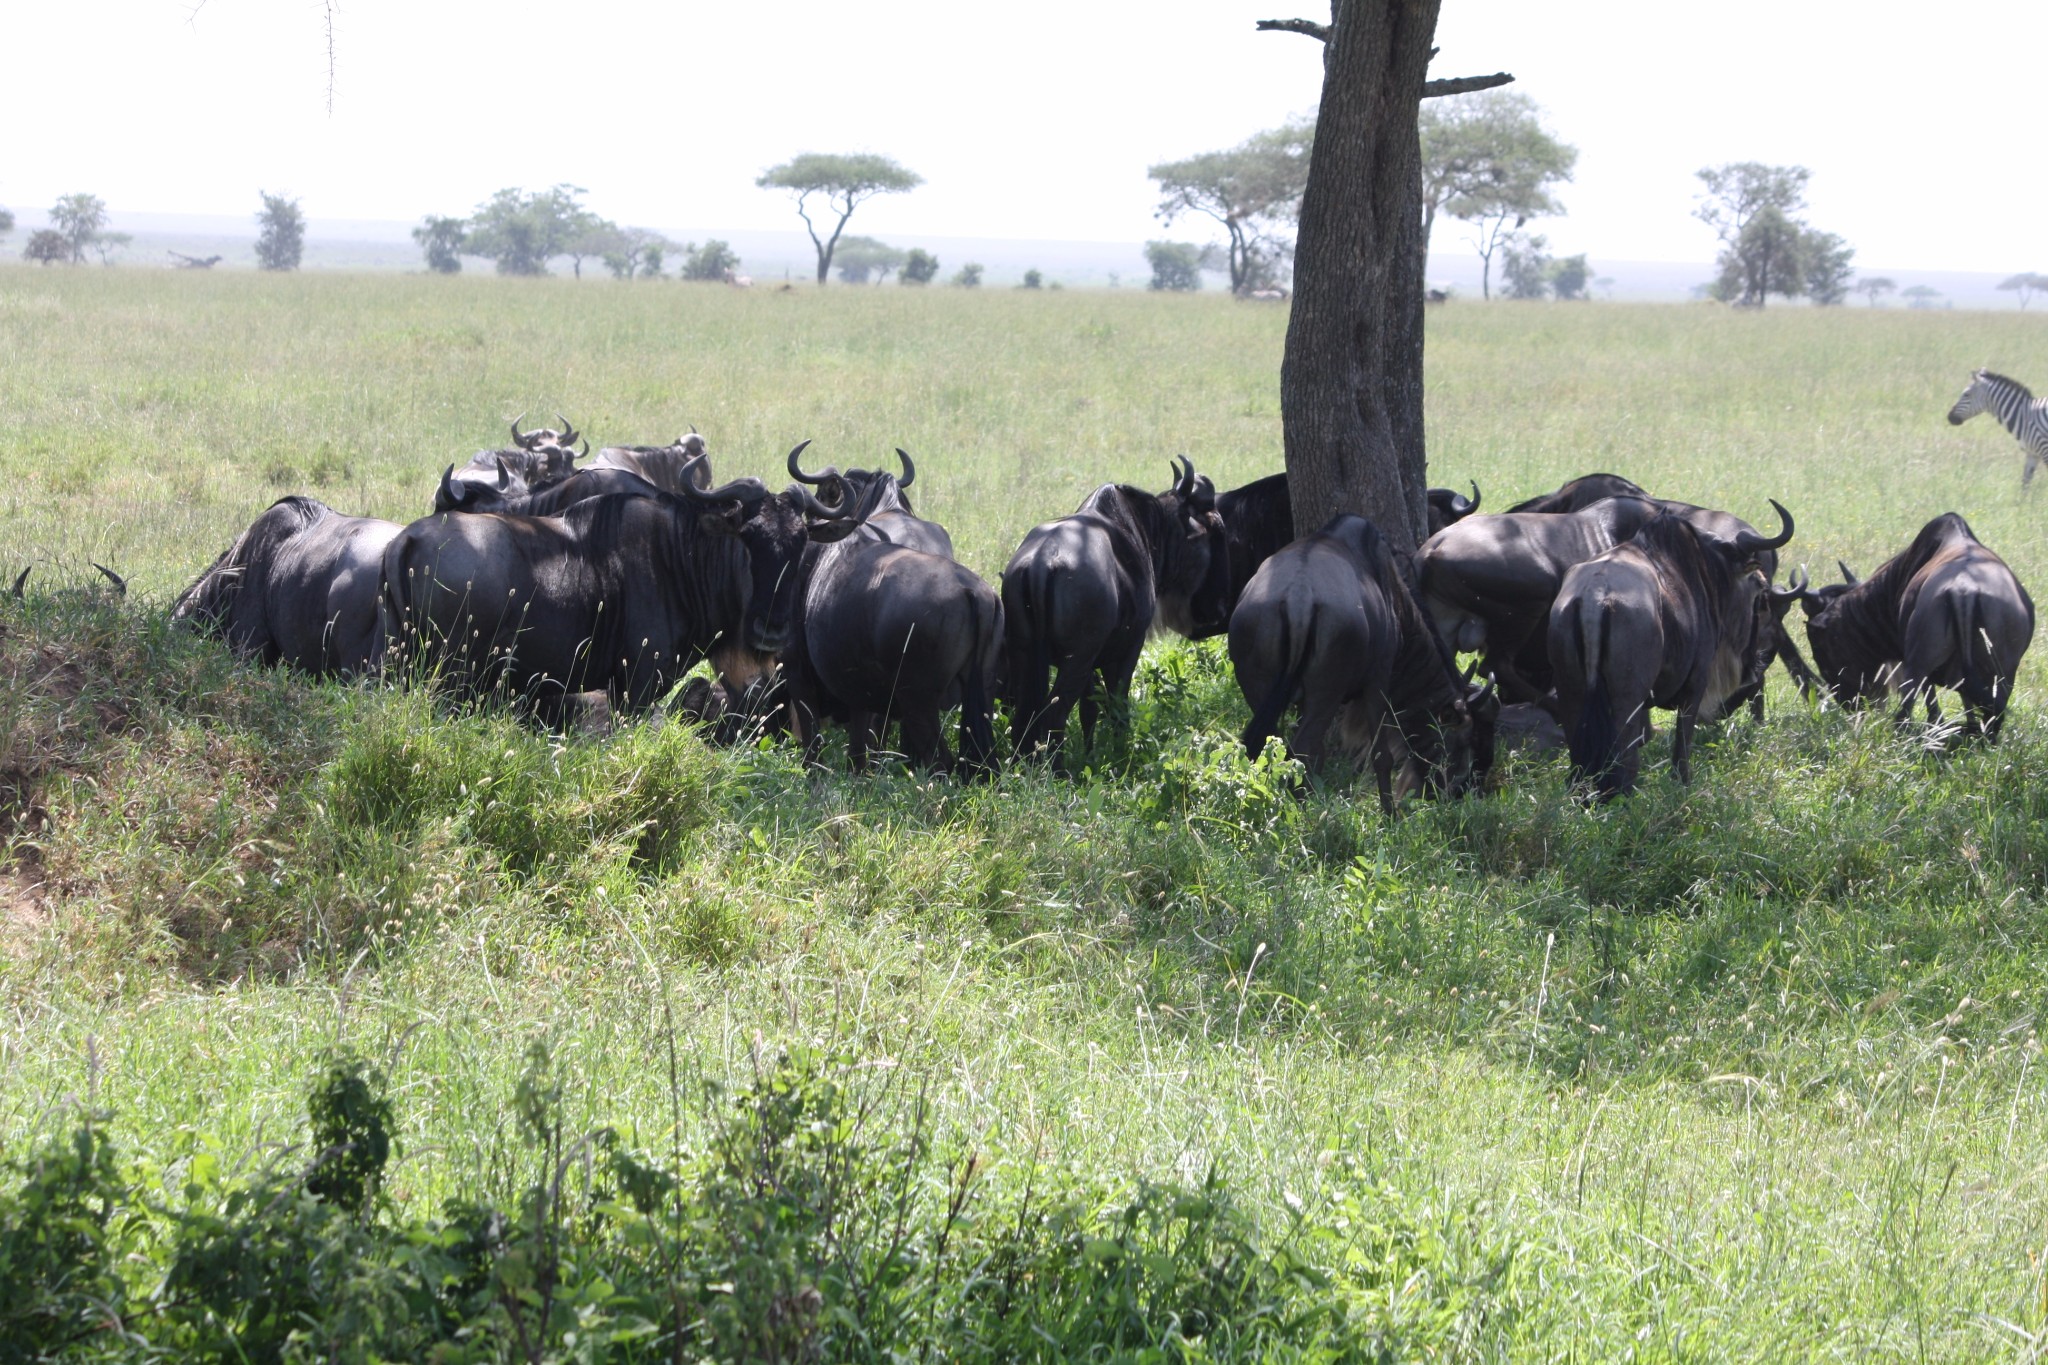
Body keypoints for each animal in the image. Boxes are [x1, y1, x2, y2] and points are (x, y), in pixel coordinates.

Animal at [1228, 511, 1490, 810]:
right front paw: (1389, 813)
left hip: (1258, 687)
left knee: (1274, 749)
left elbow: (1318, 755)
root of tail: (1298, 597)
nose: (1459, 792)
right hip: (1326, 694)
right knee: (1300, 750)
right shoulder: (1377, 683)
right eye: (1467, 740)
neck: (1396, 602)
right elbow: (1380, 756)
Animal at [1548, 505, 1794, 802]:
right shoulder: (1695, 685)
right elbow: (1682, 745)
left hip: (1571, 694)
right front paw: (1683, 786)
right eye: (1759, 590)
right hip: (1626, 701)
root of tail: (1595, 595)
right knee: (1625, 758)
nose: (1757, 663)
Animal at [1802, 509, 2023, 736]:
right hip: (2004, 674)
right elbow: (1966, 701)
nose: (1848, 702)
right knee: (1993, 714)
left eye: (1818, 643)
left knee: (1906, 711)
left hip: (1918, 667)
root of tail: (1964, 591)